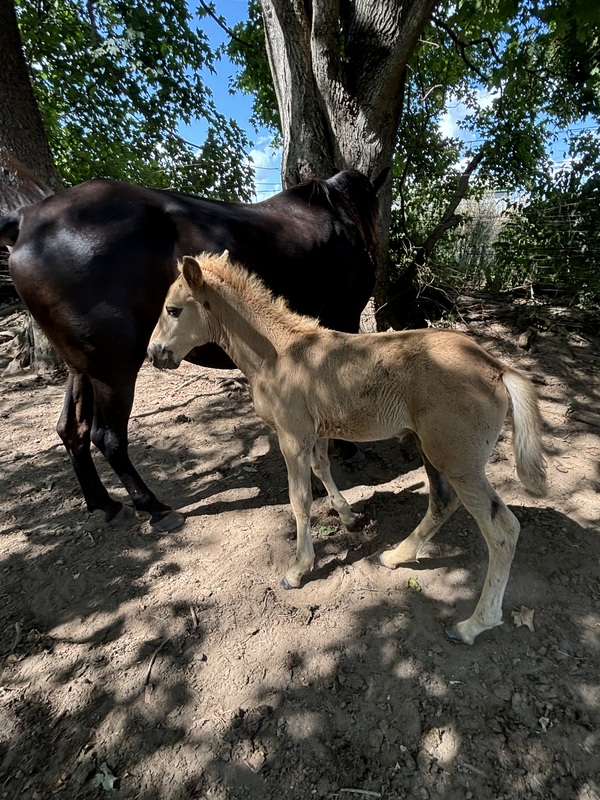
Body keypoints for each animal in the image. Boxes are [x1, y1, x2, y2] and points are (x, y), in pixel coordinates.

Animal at [0, 169, 384, 532]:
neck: (338, 213)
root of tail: (27, 219)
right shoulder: (344, 318)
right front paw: (349, 448)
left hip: (82, 369)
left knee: (72, 431)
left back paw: (106, 505)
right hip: (114, 371)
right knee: (108, 438)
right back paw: (153, 508)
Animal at [148, 253, 548, 648]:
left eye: (173, 309)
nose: (155, 353)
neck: (277, 354)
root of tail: (497, 368)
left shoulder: (292, 437)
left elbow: (300, 499)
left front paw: (297, 570)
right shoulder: (317, 432)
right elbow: (323, 468)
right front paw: (349, 518)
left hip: (460, 462)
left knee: (503, 531)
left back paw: (473, 624)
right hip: (433, 451)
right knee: (442, 501)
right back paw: (396, 556)